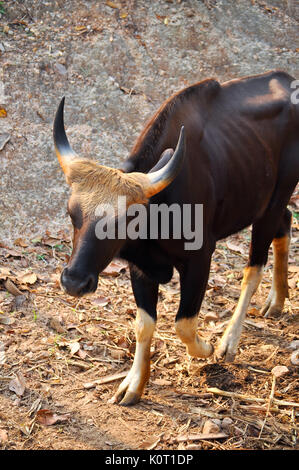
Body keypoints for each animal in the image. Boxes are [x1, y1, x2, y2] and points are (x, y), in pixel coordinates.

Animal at [54, 71, 299, 406]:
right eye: (71, 213)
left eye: (126, 219)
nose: (74, 281)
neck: (160, 211)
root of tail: (286, 80)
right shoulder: (140, 268)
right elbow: (144, 325)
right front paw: (134, 384)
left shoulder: (200, 260)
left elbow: (184, 324)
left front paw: (207, 348)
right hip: (267, 203)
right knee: (286, 221)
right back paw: (277, 300)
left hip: (274, 200)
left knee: (254, 268)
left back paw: (229, 341)